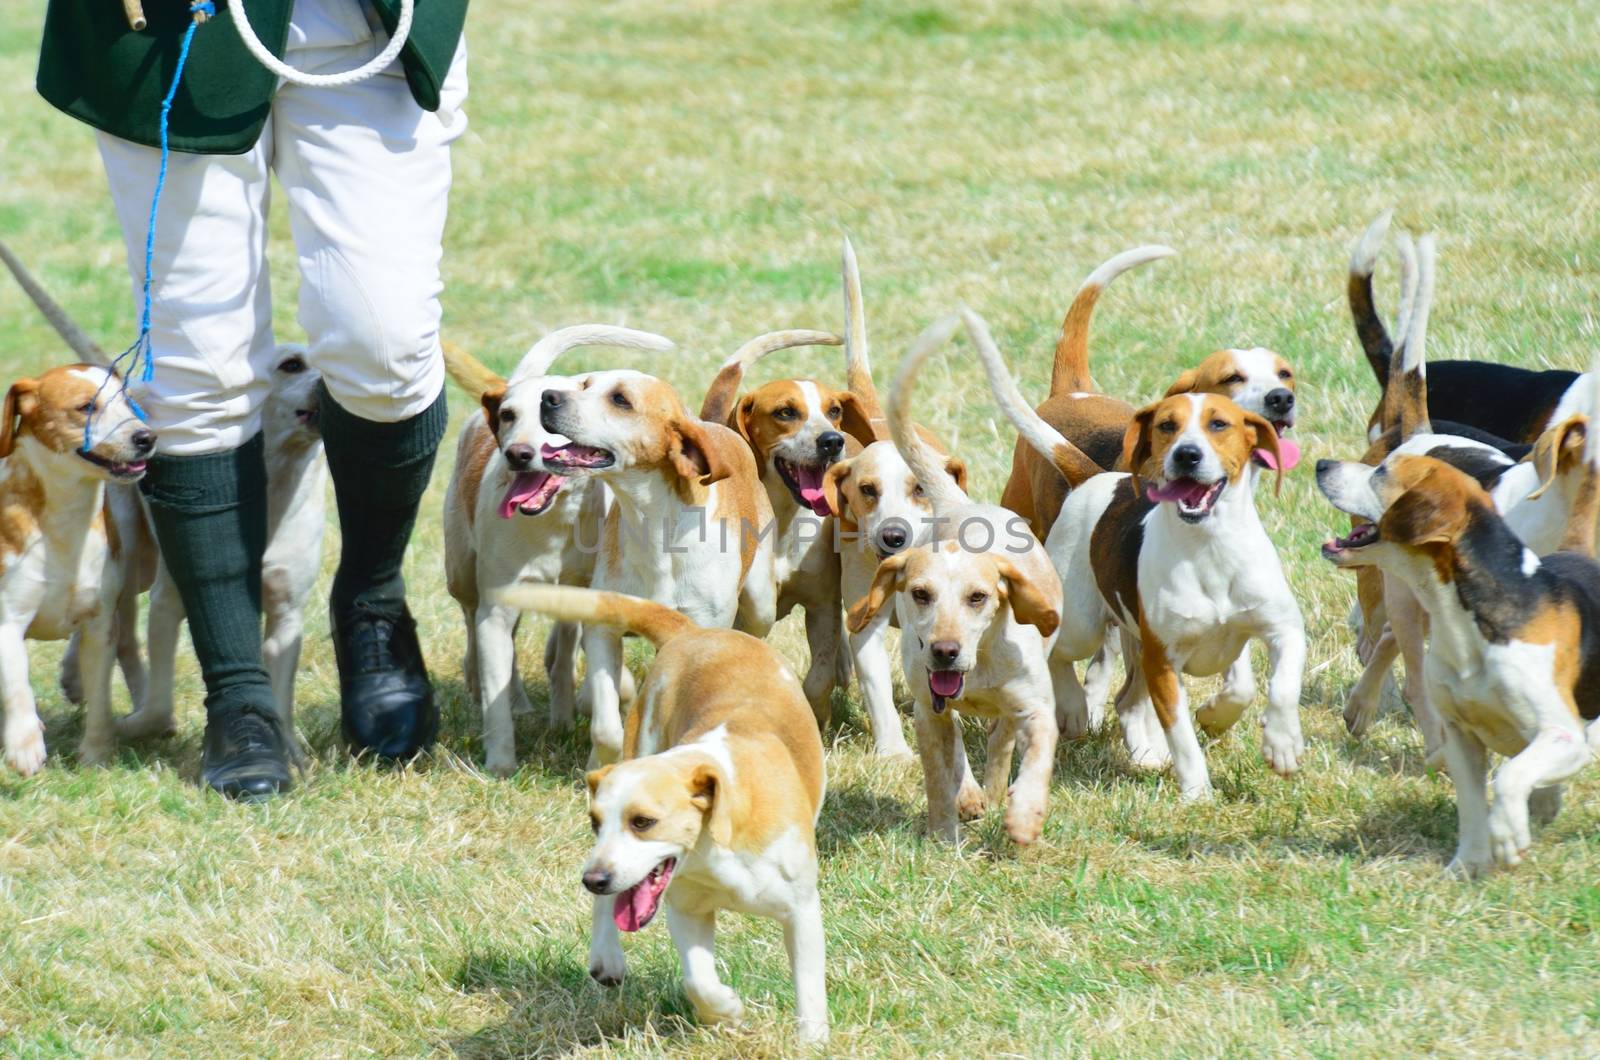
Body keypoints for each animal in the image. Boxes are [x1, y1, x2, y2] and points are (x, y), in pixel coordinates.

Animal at [0, 363, 155, 771]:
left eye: (127, 401)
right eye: (86, 406)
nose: (146, 437)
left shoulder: (99, 623)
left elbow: (100, 695)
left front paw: (96, 755)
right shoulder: (7, 619)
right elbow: (17, 685)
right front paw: (25, 746)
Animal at [441, 328, 672, 778]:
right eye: (509, 416)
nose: (518, 454)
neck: (550, 523)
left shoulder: (587, 594)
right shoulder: (496, 606)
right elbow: (496, 686)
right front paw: (500, 764)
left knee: (561, 654)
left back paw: (560, 714)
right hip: (461, 573)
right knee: (473, 624)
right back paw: (489, 688)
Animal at [496, 589, 825, 1043]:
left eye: (643, 822)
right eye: (594, 822)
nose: (592, 879)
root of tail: (693, 632)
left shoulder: (801, 910)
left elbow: (808, 986)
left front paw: (812, 1041)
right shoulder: (686, 908)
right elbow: (698, 981)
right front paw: (727, 1011)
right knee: (608, 909)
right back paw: (607, 958)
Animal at [540, 358, 777, 765]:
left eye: (620, 399)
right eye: (585, 385)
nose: (547, 397)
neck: (654, 528)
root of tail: (711, 425)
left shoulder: (702, 629)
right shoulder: (604, 629)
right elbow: (606, 729)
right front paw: (600, 763)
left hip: (761, 604)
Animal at [844, 315, 1068, 845]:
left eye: (978, 598)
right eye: (920, 595)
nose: (944, 651)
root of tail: (957, 502)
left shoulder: (1036, 709)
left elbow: (1033, 759)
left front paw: (1024, 816)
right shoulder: (930, 712)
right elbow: (940, 775)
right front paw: (945, 832)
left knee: (1001, 743)